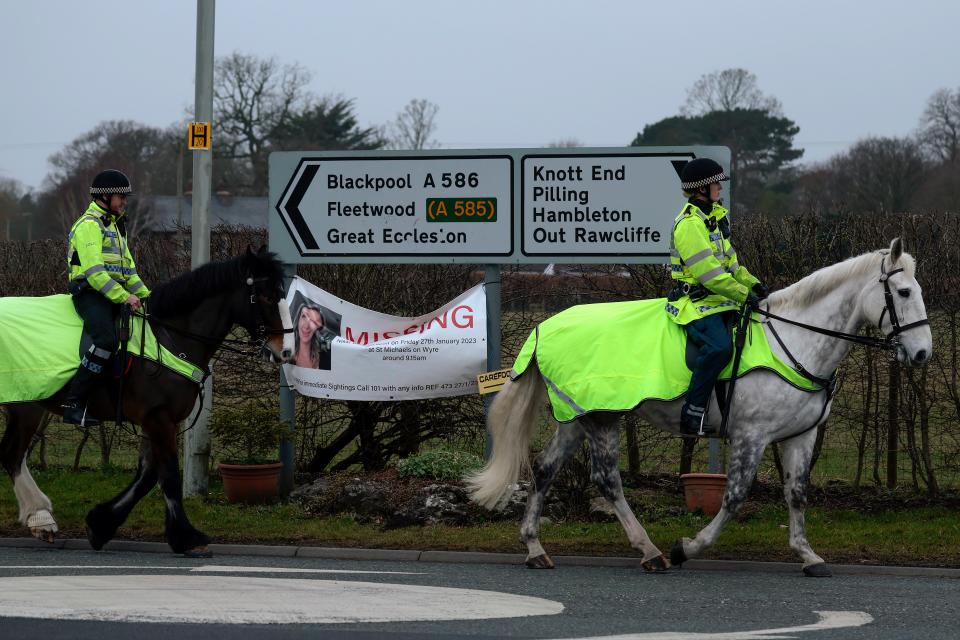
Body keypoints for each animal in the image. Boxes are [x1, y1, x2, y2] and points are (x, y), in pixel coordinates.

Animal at [0, 245, 292, 556]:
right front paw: (186, 537)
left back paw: (40, 519)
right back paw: (40, 517)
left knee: (11, 455)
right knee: (13, 454)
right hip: (26, 405)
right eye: (266, 296)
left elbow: (148, 475)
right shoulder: (157, 418)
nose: (285, 351)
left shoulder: (159, 420)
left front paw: (100, 524)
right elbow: (169, 476)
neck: (169, 337)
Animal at [468, 239, 932, 576]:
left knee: (545, 470)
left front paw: (808, 555)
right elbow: (735, 497)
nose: (923, 354)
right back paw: (651, 551)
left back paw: (534, 547)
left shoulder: (801, 436)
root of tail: (546, 326)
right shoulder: (751, 435)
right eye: (904, 291)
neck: (795, 340)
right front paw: (688, 547)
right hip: (602, 419)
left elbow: (797, 493)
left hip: (578, 418)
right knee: (607, 481)